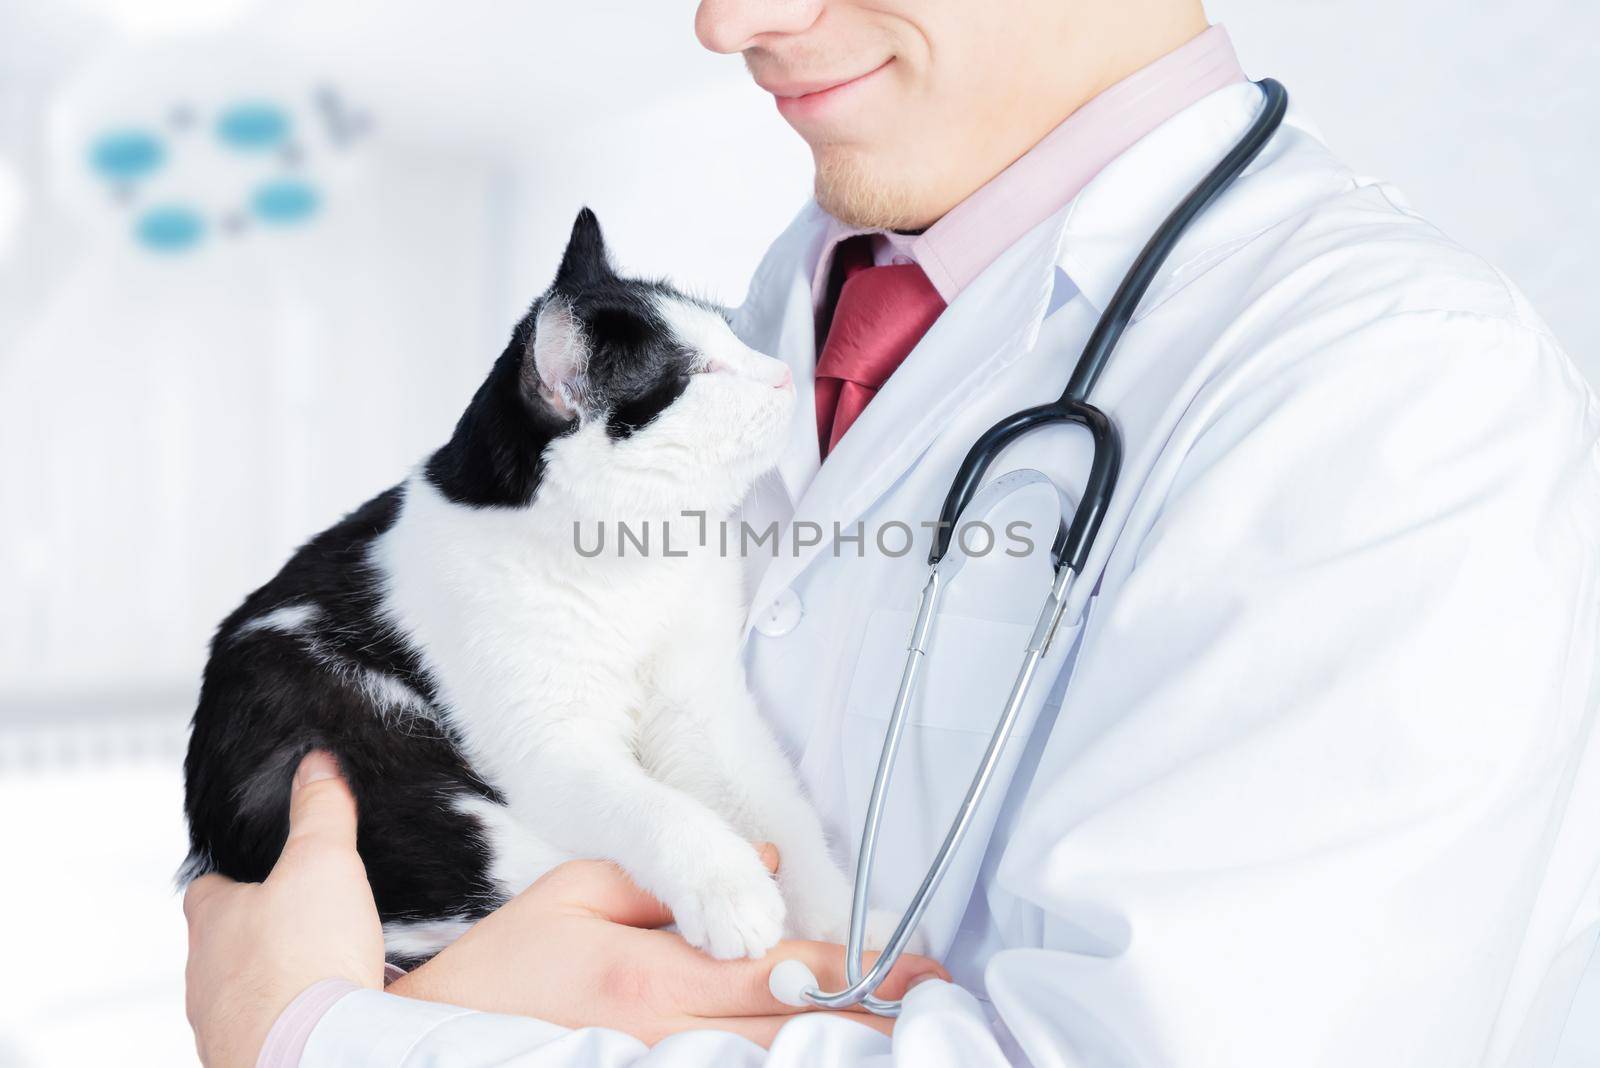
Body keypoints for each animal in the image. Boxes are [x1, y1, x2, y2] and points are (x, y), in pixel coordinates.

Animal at [185, 212, 889, 965]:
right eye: (698, 375)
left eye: (732, 332)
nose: (783, 374)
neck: (634, 564)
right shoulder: (549, 746)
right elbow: (658, 807)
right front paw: (730, 885)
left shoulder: (701, 704)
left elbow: (776, 807)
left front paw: (840, 922)